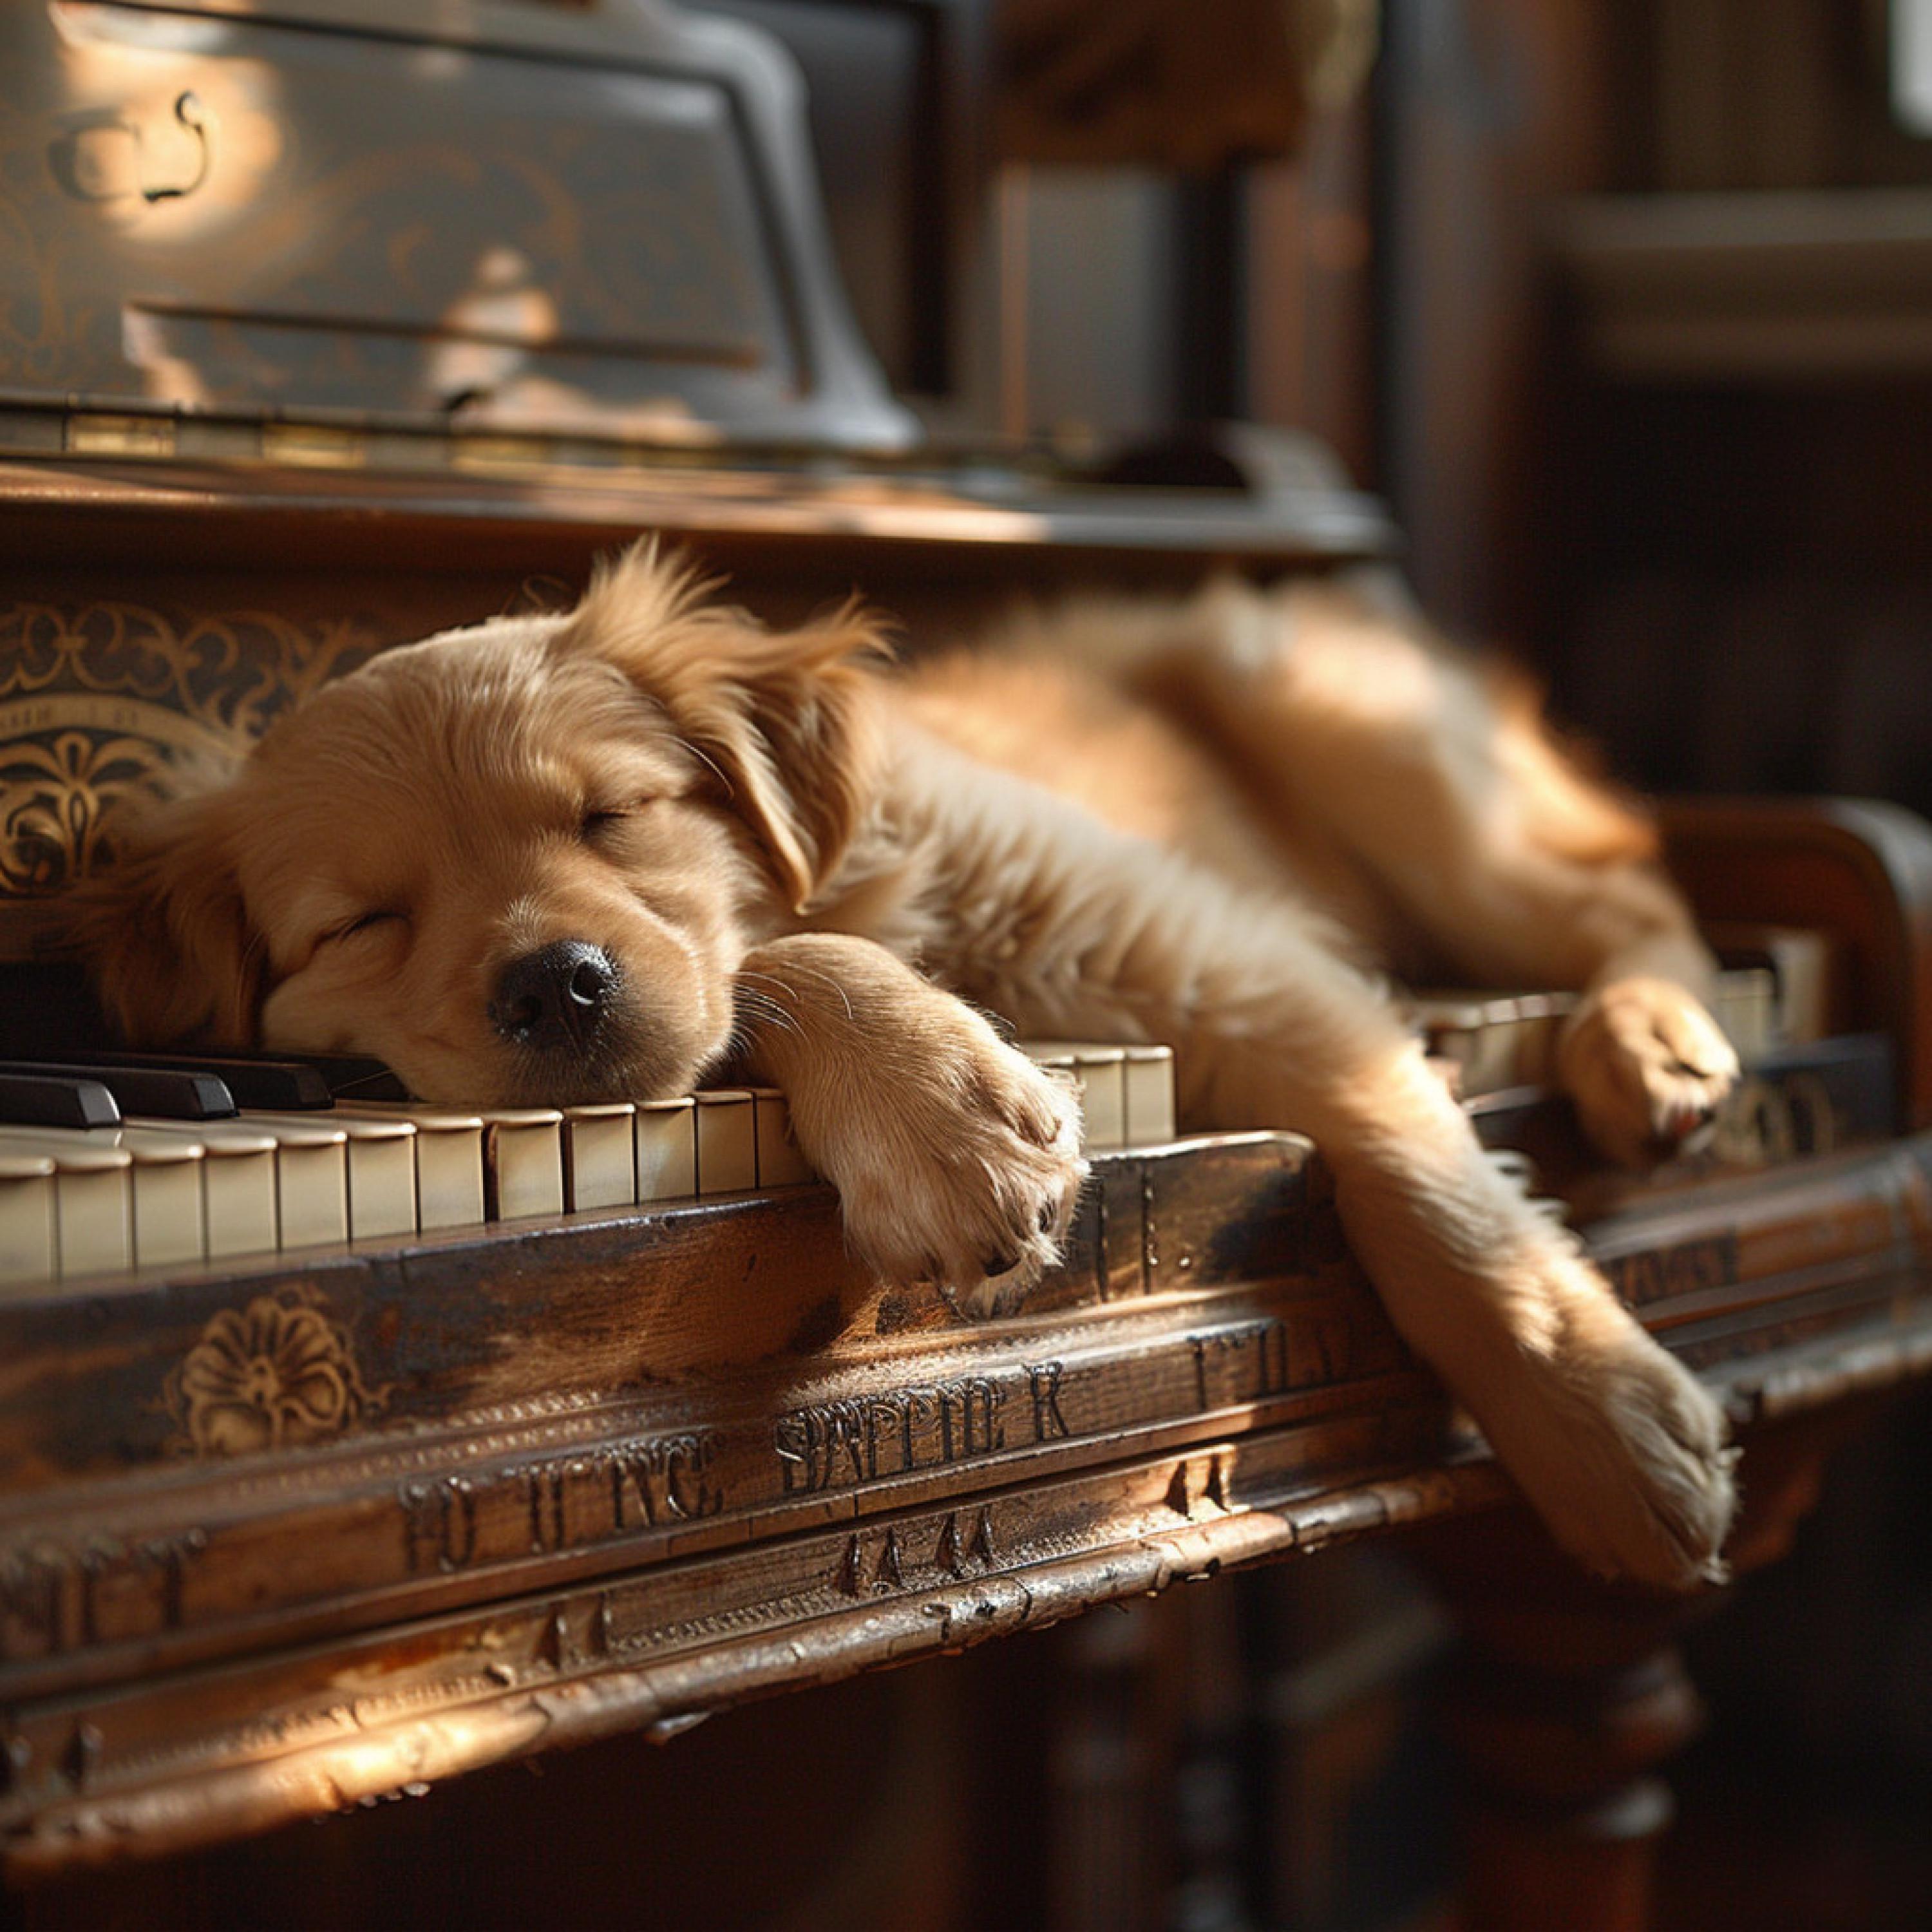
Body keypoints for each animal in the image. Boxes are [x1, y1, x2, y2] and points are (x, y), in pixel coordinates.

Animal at [64, 545, 1754, 1584]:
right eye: (364, 923)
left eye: (612, 814)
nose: (554, 985)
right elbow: (766, 968)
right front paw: (948, 1116)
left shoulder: (1230, 960)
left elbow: (1439, 1199)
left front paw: (1601, 1427)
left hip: (1359, 736)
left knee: (1632, 892)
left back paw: (1654, 1038)